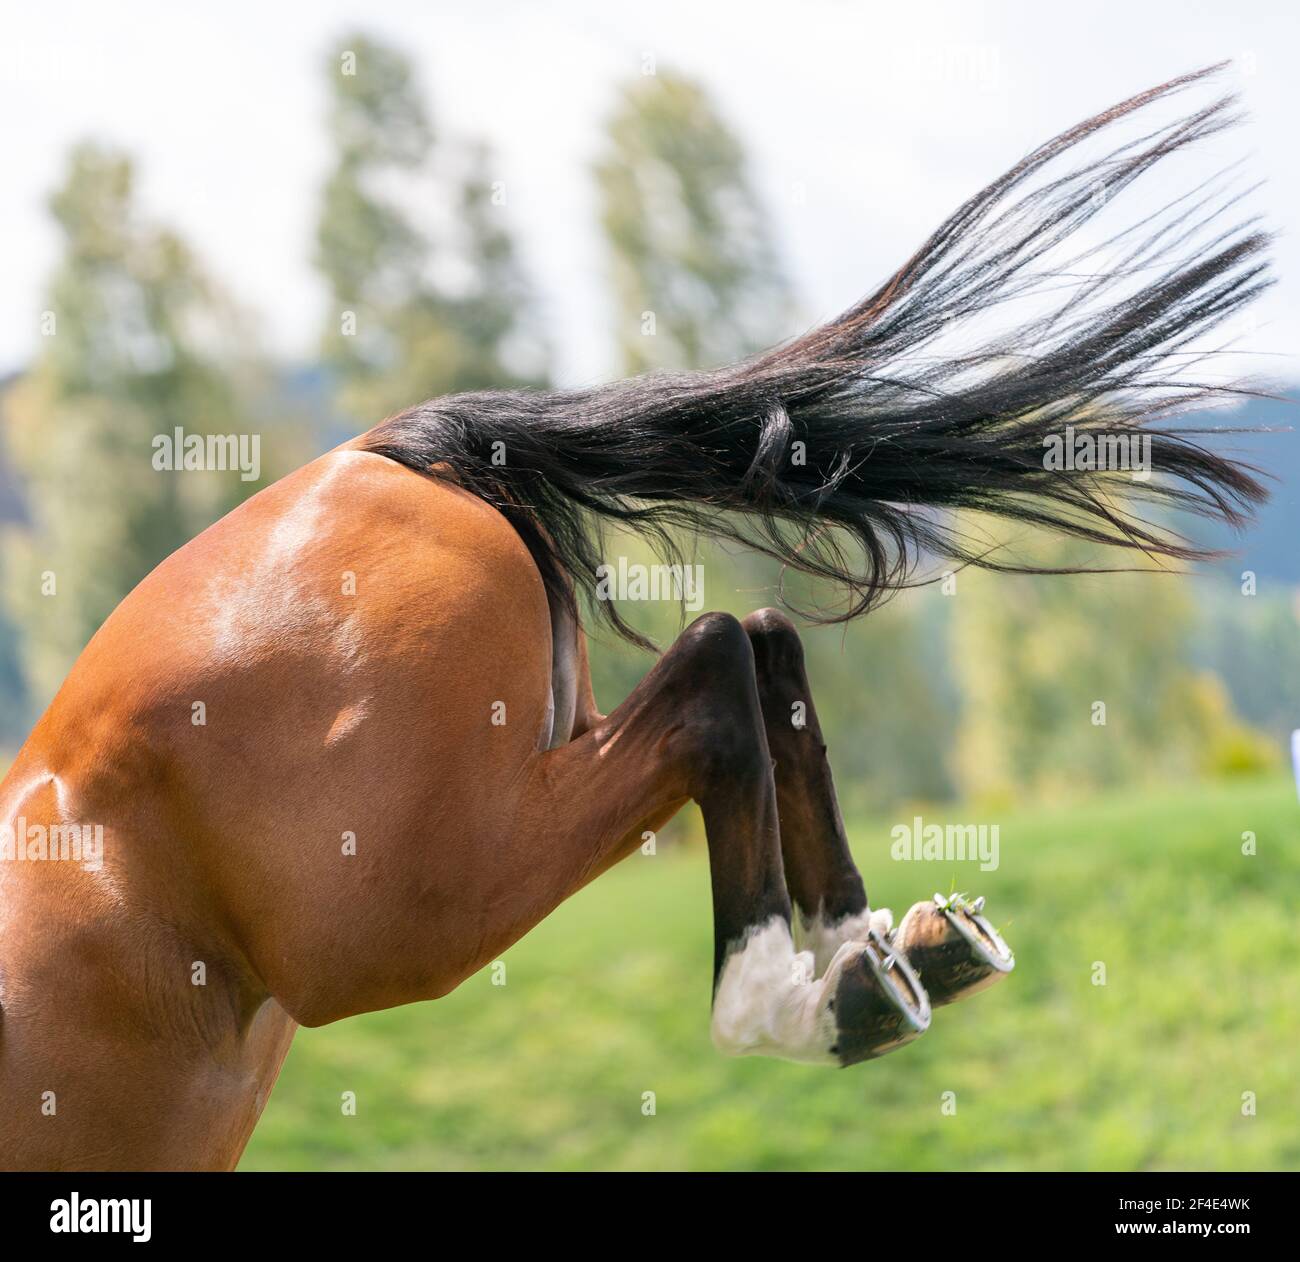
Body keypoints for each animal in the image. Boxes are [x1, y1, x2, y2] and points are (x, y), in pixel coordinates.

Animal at [0, 66, 1268, 1174]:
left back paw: (793, 1001)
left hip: (404, 906)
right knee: (757, 643)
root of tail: (381, 452)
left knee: (716, 665)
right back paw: (876, 959)